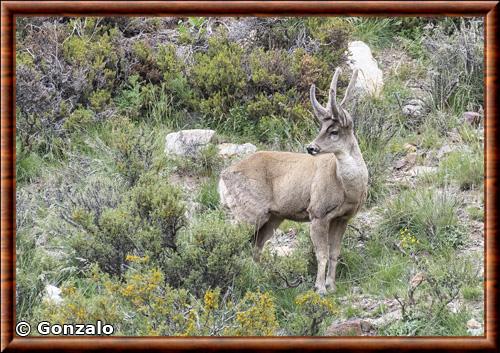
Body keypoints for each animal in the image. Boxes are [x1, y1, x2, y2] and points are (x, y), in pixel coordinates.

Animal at [219, 67, 368, 292]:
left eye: (333, 131)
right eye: (321, 128)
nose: (311, 147)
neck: (346, 188)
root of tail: (222, 177)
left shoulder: (343, 217)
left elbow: (334, 253)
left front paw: (332, 286)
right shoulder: (317, 212)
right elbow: (321, 254)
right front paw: (320, 288)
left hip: (272, 217)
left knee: (256, 247)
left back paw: (258, 280)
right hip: (248, 210)